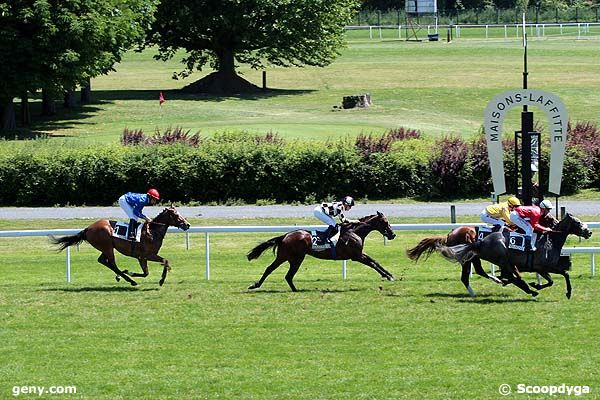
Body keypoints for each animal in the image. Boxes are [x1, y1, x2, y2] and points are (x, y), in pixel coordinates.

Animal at [50, 206, 190, 288]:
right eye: (176, 215)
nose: (187, 225)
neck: (153, 231)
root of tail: (88, 229)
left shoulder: (142, 257)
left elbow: (146, 273)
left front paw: (130, 272)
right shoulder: (146, 255)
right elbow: (165, 261)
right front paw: (161, 280)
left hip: (106, 247)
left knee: (103, 261)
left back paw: (124, 276)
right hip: (107, 246)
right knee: (112, 263)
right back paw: (129, 280)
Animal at [246, 212, 396, 290]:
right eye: (385, 222)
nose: (393, 235)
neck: (354, 232)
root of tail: (284, 236)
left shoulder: (359, 254)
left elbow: (375, 262)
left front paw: (389, 275)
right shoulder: (356, 255)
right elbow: (373, 263)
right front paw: (388, 276)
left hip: (295, 259)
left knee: (288, 276)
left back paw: (295, 290)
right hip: (286, 256)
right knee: (270, 269)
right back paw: (255, 285)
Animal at [438, 214, 592, 298]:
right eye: (578, 222)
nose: (589, 232)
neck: (551, 240)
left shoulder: (544, 268)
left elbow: (560, 276)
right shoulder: (543, 267)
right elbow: (557, 277)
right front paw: (536, 285)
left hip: (481, 259)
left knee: (485, 273)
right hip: (500, 261)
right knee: (511, 277)